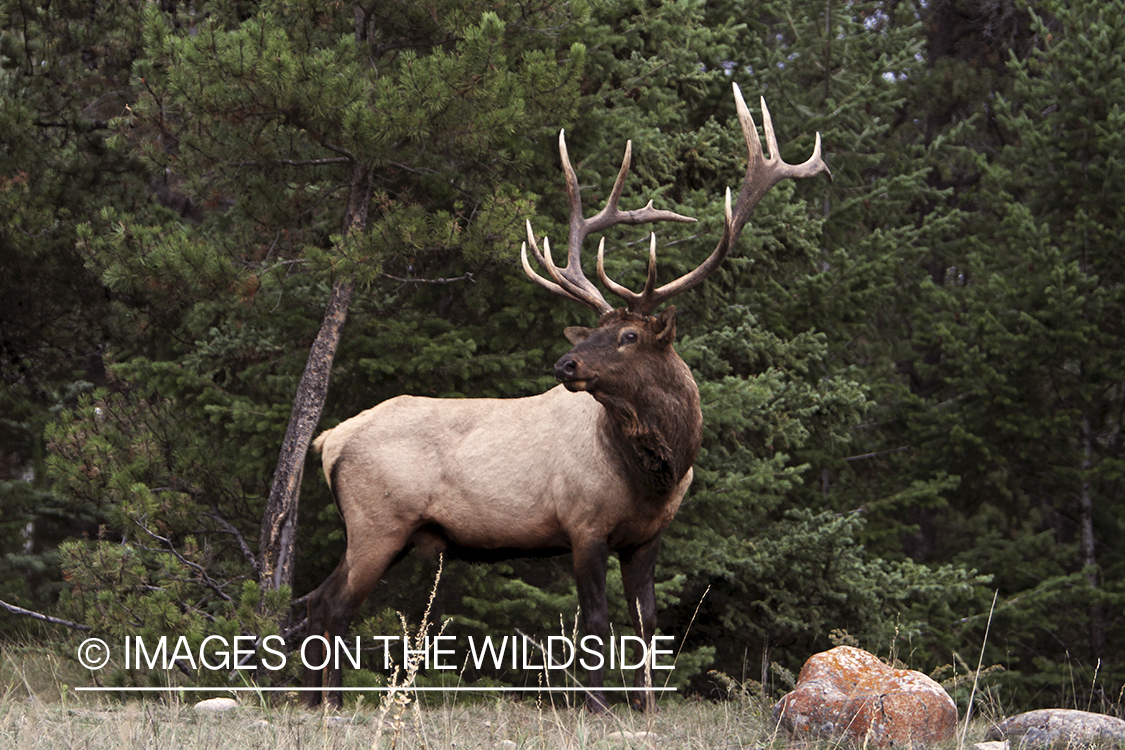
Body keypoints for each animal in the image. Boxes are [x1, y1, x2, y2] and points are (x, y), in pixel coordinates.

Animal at [303, 82, 832, 710]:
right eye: (594, 333)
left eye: (628, 336)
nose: (565, 362)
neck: (654, 474)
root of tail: (329, 441)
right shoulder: (583, 523)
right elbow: (596, 622)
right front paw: (597, 706)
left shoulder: (648, 536)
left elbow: (648, 623)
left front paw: (646, 703)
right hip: (379, 520)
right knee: (335, 604)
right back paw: (330, 704)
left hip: (385, 531)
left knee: (315, 600)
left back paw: (312, 700)